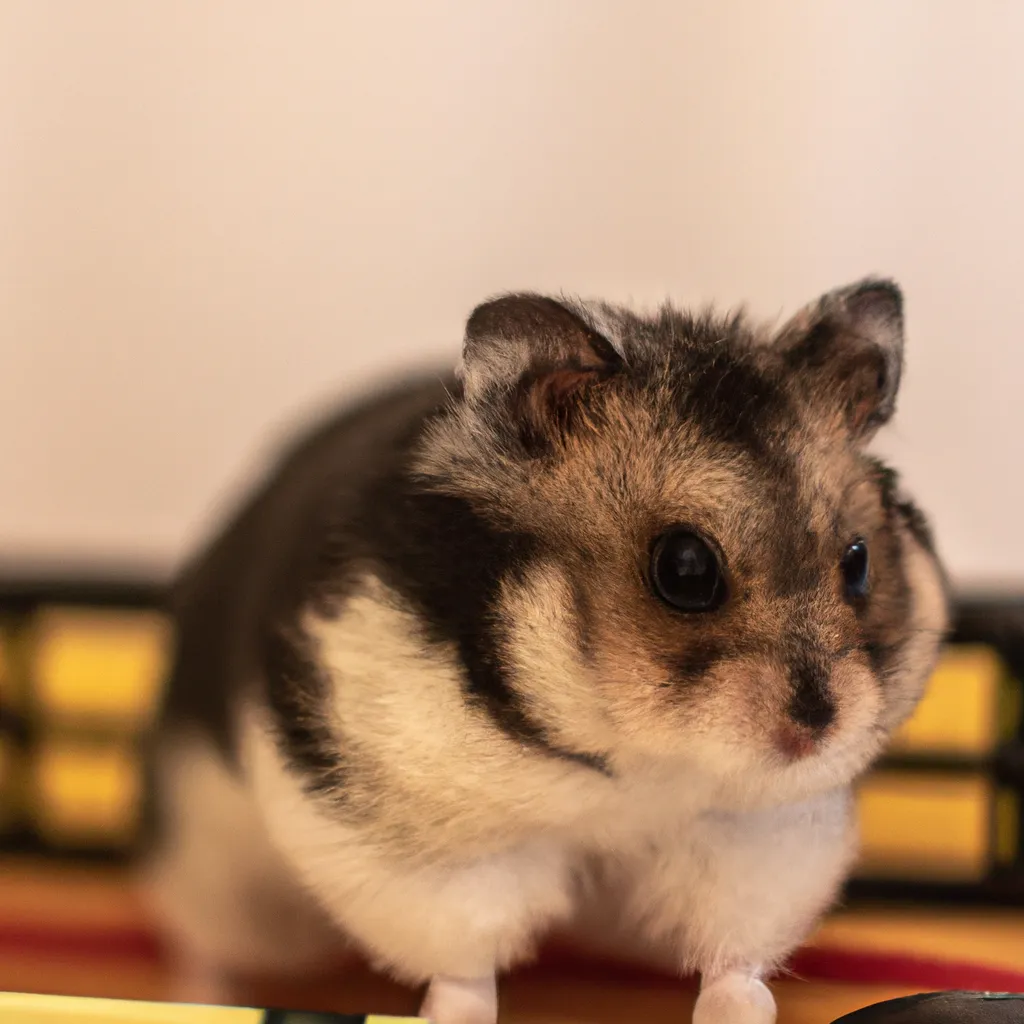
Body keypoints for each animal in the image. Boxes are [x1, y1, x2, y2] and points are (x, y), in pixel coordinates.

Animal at [143, 280, 949, 1024]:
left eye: (857, 562)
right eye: (685, 569)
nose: (818, 729)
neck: (628, 758)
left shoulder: (758, 841)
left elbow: (735, 964)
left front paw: (736, 1012)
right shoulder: (427, 851)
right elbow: (464, 972)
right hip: (227, 877)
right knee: (202, 942)